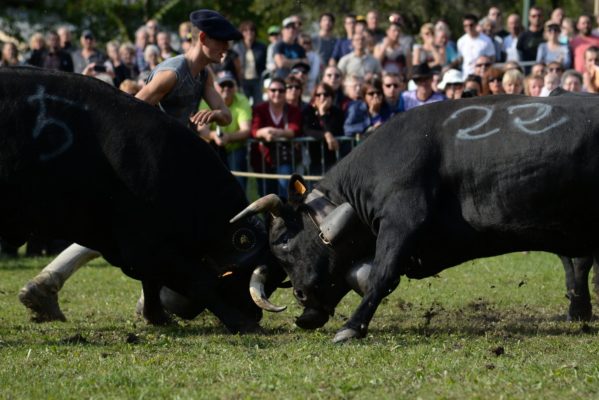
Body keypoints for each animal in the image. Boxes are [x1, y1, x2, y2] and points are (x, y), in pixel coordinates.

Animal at [0, 68, 284, 332]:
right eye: (248, 277)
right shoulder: (143, 244)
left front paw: (155, 315)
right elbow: (197, 281)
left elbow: (152, 280)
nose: (255, 314)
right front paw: (242, 323)